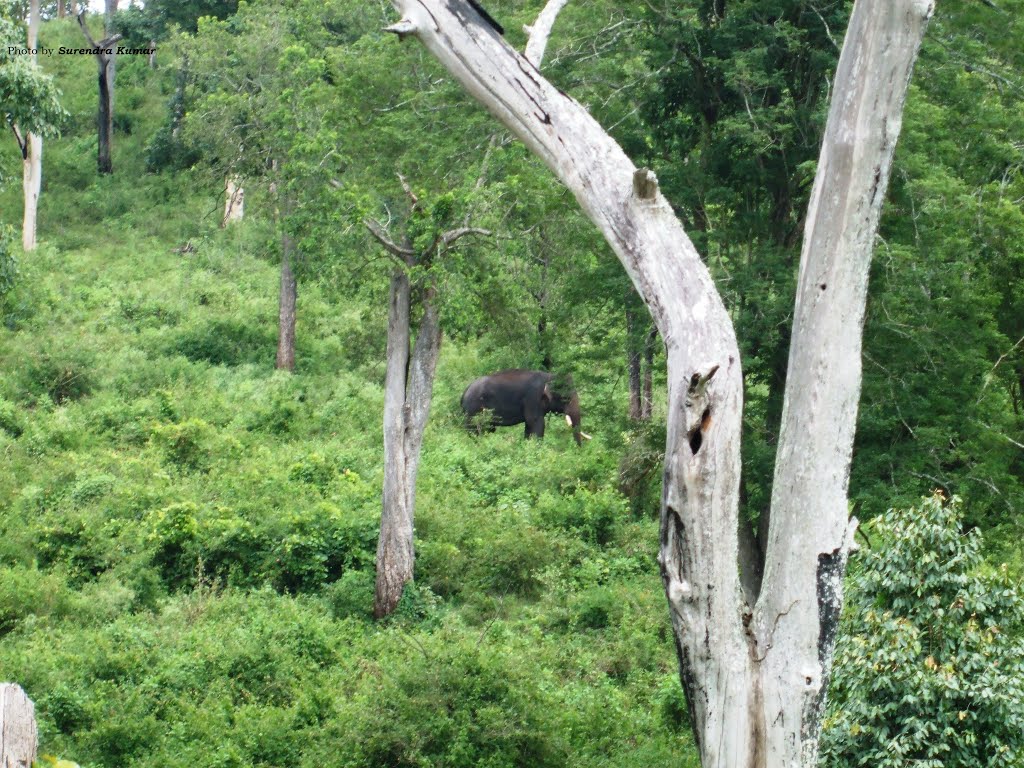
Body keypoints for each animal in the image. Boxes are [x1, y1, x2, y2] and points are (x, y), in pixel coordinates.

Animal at [458, 370, 589, 444]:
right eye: (566, 398)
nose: (578, 451)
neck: (550, 376)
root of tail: (464, 392)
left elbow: (529, 426)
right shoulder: (533, 398)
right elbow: (537, 424)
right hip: (473, 410)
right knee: (474, 431)